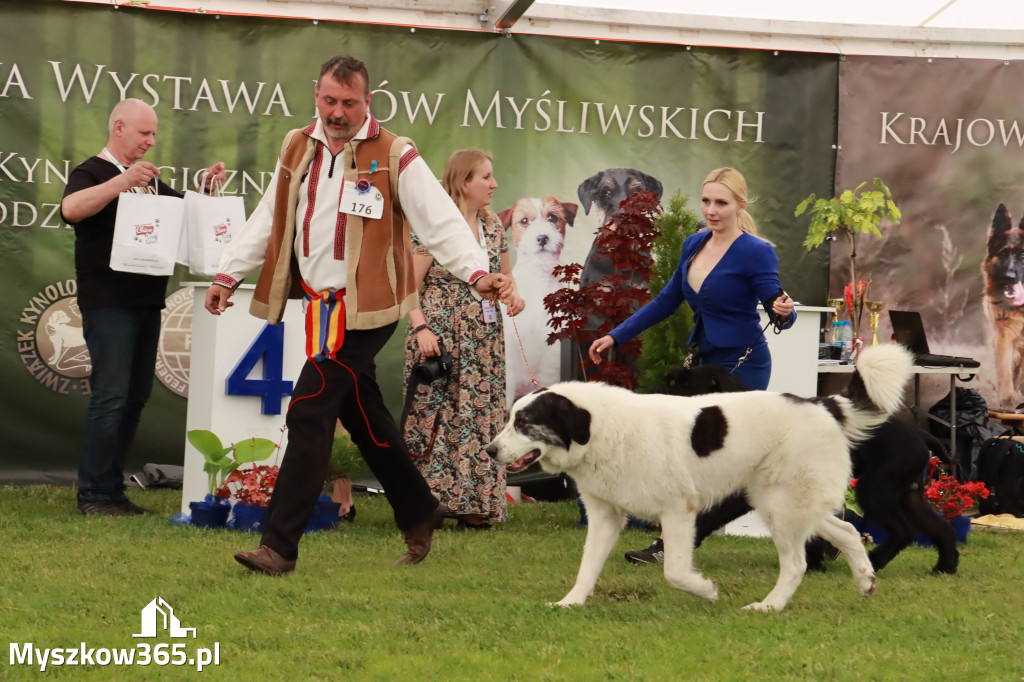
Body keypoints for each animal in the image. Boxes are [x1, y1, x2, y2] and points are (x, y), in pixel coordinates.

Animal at [485, 346, 913, 610]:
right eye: (510, 418)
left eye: (524, 423)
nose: (489, 450)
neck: (602, 430)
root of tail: (821, 403)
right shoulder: (605, 517)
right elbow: (587, 567)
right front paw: (570, 603)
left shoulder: (678, 511)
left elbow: (674, 571)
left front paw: (706, 591)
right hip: (787, 502)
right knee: (848, 532)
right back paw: (865, 580)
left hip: (781, 507)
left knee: (797, 564)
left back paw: (769, 606)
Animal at [663, 364, 958, 569]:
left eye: (685, 384)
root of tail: (920, 433)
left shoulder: (742, 493)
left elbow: (709, 517)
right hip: (909, 493)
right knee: (941, 530)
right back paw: (944, 567)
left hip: (875, 489)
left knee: (903, 531)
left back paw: (875, 561)